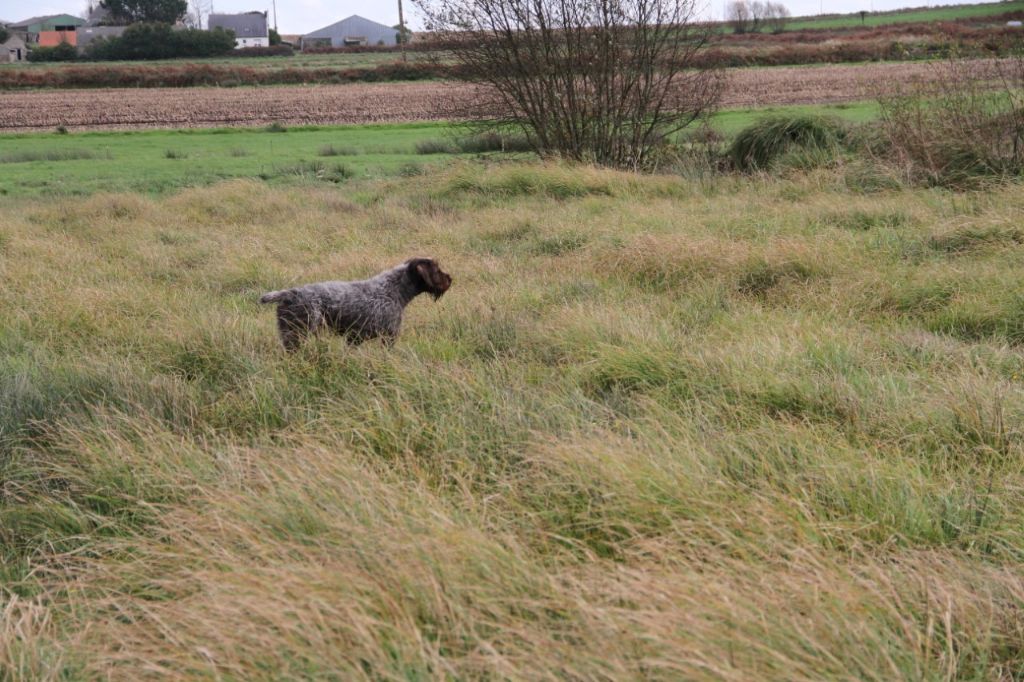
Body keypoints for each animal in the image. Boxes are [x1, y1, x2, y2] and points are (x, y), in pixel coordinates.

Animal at [260, 256, 452, 350]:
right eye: (437, 270)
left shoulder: (355, 338)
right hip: (298, 335)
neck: (394, 290)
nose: (450, 279)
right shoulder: (388, 337)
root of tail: (290, 293)